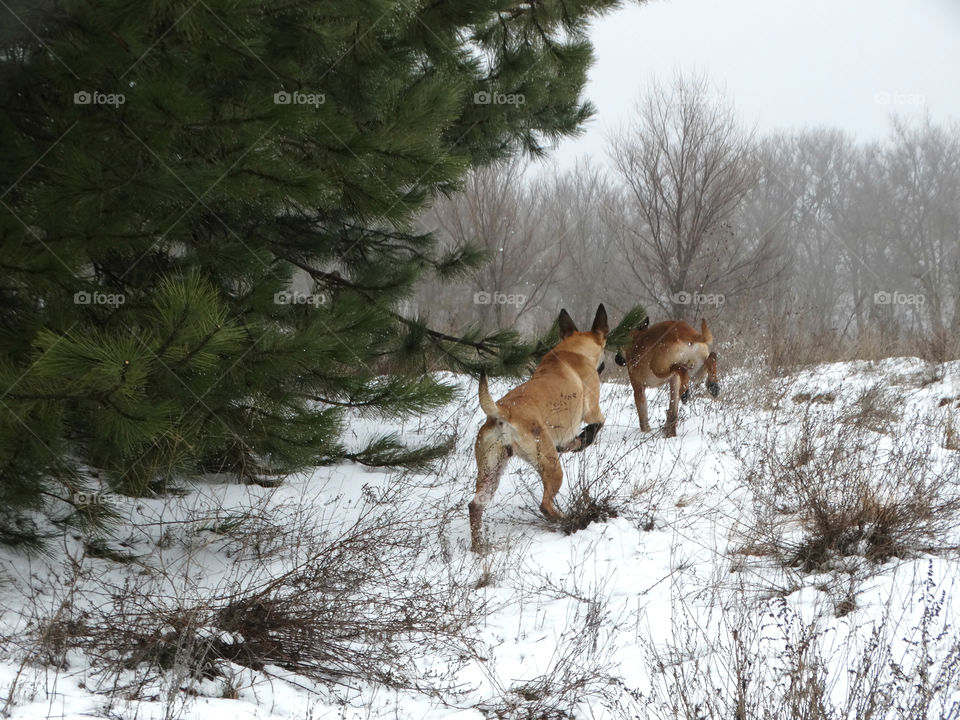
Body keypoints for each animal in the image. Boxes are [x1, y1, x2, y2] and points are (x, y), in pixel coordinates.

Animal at [468, 304, 612, 552]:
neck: (572, 352)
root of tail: (501, 412)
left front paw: (574, 443)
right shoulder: (592, 410)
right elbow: (596, 426)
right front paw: (582, 440)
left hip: (490, 470)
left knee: (475, 505)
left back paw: (479, 548)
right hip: (551, 465)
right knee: (545, 504)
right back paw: (568, 521)